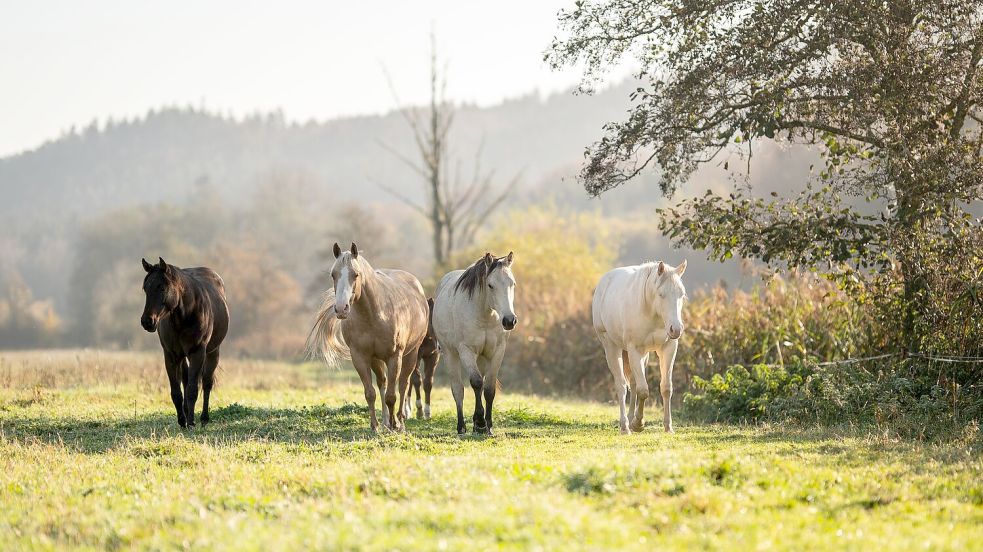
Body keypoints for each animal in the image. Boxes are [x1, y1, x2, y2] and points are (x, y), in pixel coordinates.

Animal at [140, 256, 231, 430]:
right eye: (145, 289)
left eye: (162, 288)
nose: (147, 322)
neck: (185, 315)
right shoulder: (170, 355)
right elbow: (176, 391)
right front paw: (182, 420)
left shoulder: (197, 353)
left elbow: (193, 390)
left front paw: (191, 422)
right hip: (182, 357)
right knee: (185, 379)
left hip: (212, 352)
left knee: (207, 383)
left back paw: (203, 418)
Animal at [308, 245, 430, 432]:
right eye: (333, 274)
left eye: (356, 274)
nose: (341, 308)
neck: (374, 314)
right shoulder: (361, 357)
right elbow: (370, 393)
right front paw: (375, 426)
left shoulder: (394, 357)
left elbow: (392, 396)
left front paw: (394, 425)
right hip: (376, 360)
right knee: (382, 383)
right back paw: (386, 421)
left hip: (410, 355)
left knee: (403, 384)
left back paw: (400, 421)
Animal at [434, 251, 520, 436]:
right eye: (490, 285)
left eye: (513, 284)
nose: (509, 320)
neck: (485, 315)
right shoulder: (466, 351)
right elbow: (476, 382)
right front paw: (480, 422)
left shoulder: (497, 352)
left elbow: (488, 388)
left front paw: (488, 426)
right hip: (451, 354)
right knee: (458, 390)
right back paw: (462, 427)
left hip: (481, 357)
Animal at [596, 260, 688, 434]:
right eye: (661, 294)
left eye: (682, 294)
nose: (676, 329)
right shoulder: (634, 350)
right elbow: (643, 390)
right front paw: (638, 424)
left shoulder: (668, 348)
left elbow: (666, 388)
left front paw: (668, 427)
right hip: (612, 347)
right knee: (621, 386)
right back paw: (625, 426)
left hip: (644, 355)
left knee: (633, 383)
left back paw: (630, 418)